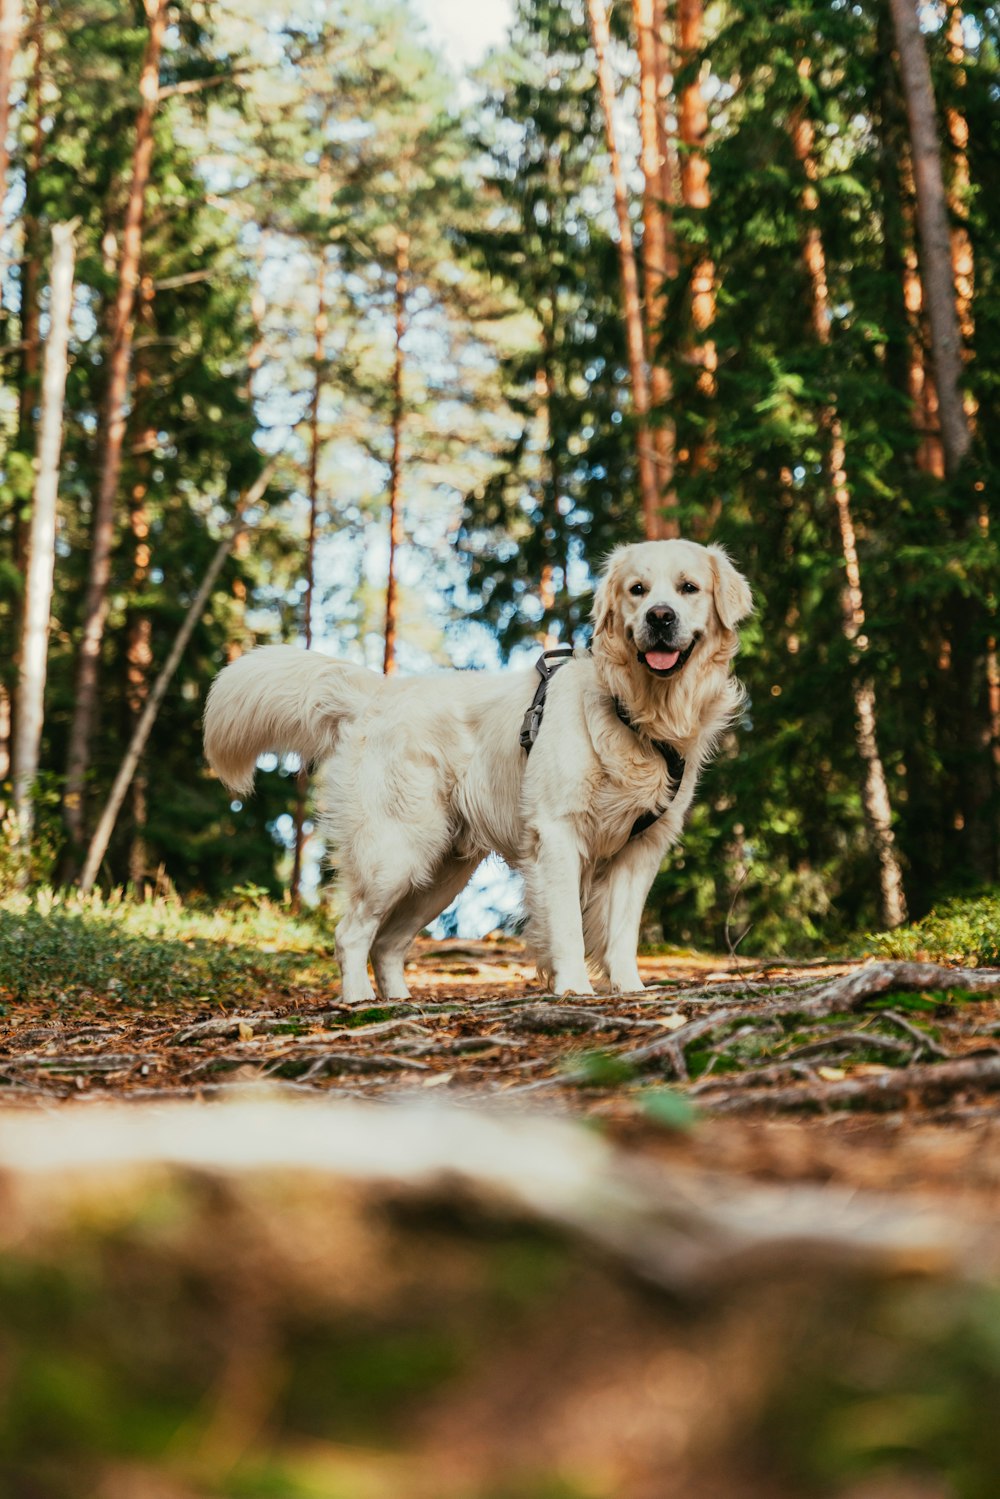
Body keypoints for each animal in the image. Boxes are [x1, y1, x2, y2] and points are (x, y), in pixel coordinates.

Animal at [203, 545, 749, 1001]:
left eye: (688, 588)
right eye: (638, 589)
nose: (660, 617)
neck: (632, 711)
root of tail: (378, 693)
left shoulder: (643, 847)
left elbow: (621, 931)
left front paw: (631, 989)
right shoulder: (557, 833)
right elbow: (568, 927)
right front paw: (574, 989)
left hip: (441, 872)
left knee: (388, 942)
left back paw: (400, 1003)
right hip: (395, 853)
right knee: (352, 933)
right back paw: (358, 1001)